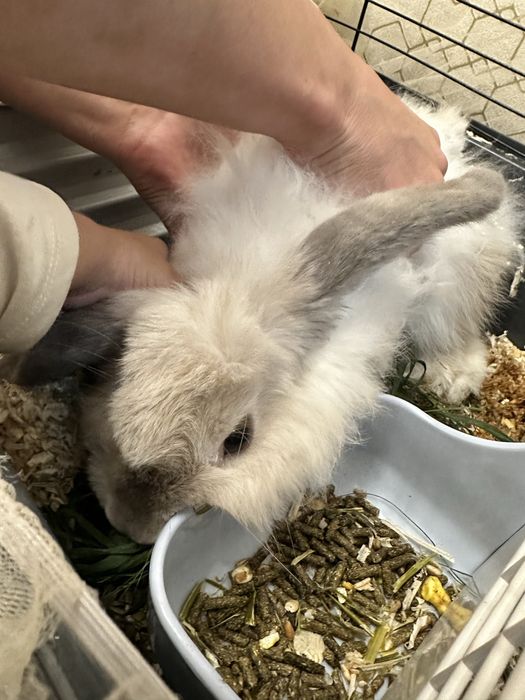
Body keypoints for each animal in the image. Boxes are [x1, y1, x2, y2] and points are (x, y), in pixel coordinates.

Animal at [2, 96, 522, 544]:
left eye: (238, 441)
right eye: (112, 400)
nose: (132, 527)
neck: (242, 283)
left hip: (456, 282)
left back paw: (451, 378)